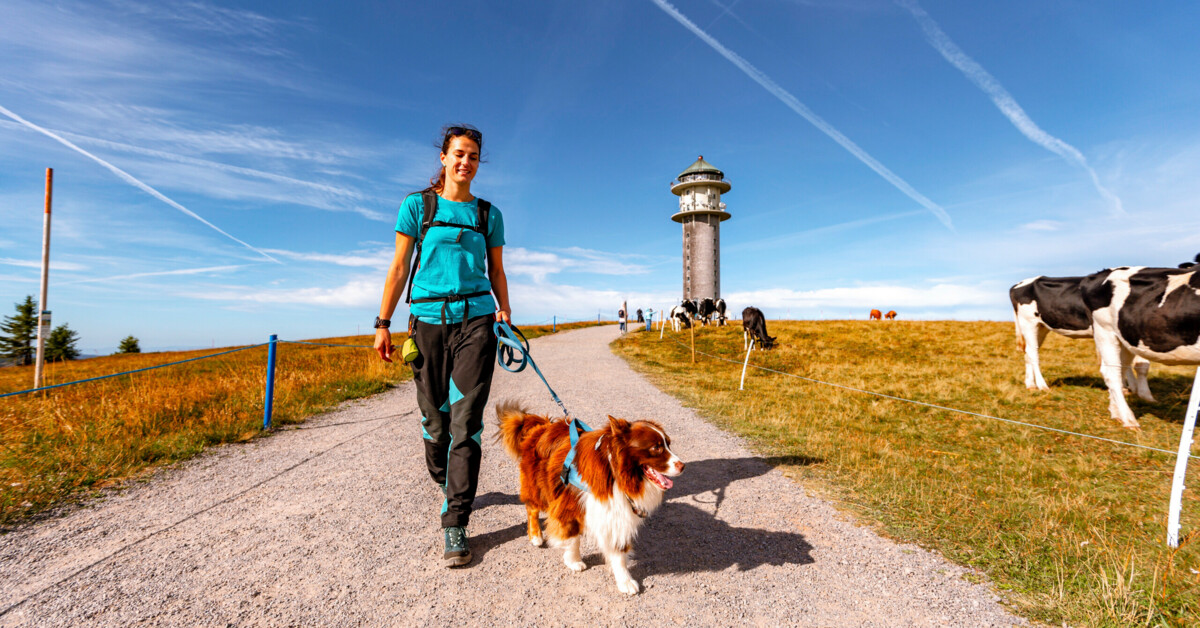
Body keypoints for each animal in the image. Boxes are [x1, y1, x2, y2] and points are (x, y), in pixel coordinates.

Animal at [496, 401, 686, 597]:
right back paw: (535, 536)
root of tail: (542, 425)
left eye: (669, 444)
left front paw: (624, 580)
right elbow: (573, 537)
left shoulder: (617, 513)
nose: (683, 466)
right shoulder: (568, 504)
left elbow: (618, 550)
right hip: (538, 486)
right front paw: (573, 561)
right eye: (656, 447)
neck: (615, 473)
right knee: (531, 508)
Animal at [1012, 274, 1152, 398]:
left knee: (1028, 353)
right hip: (1029, 323)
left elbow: (1124, 362)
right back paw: (1042, 385)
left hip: (1041, 327)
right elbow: (1139, 364)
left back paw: (1030, 385)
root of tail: (1018, 284)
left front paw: (1129, 388)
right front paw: (1142, 394)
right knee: (1033, 353)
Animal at [1080, 262, 1200, 429]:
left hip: (1126, 338)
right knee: (1112, 373)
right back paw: (1129, 420)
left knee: (1120, 370)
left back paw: (1116, 413)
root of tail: (1098, 273)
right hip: (1104, 331)